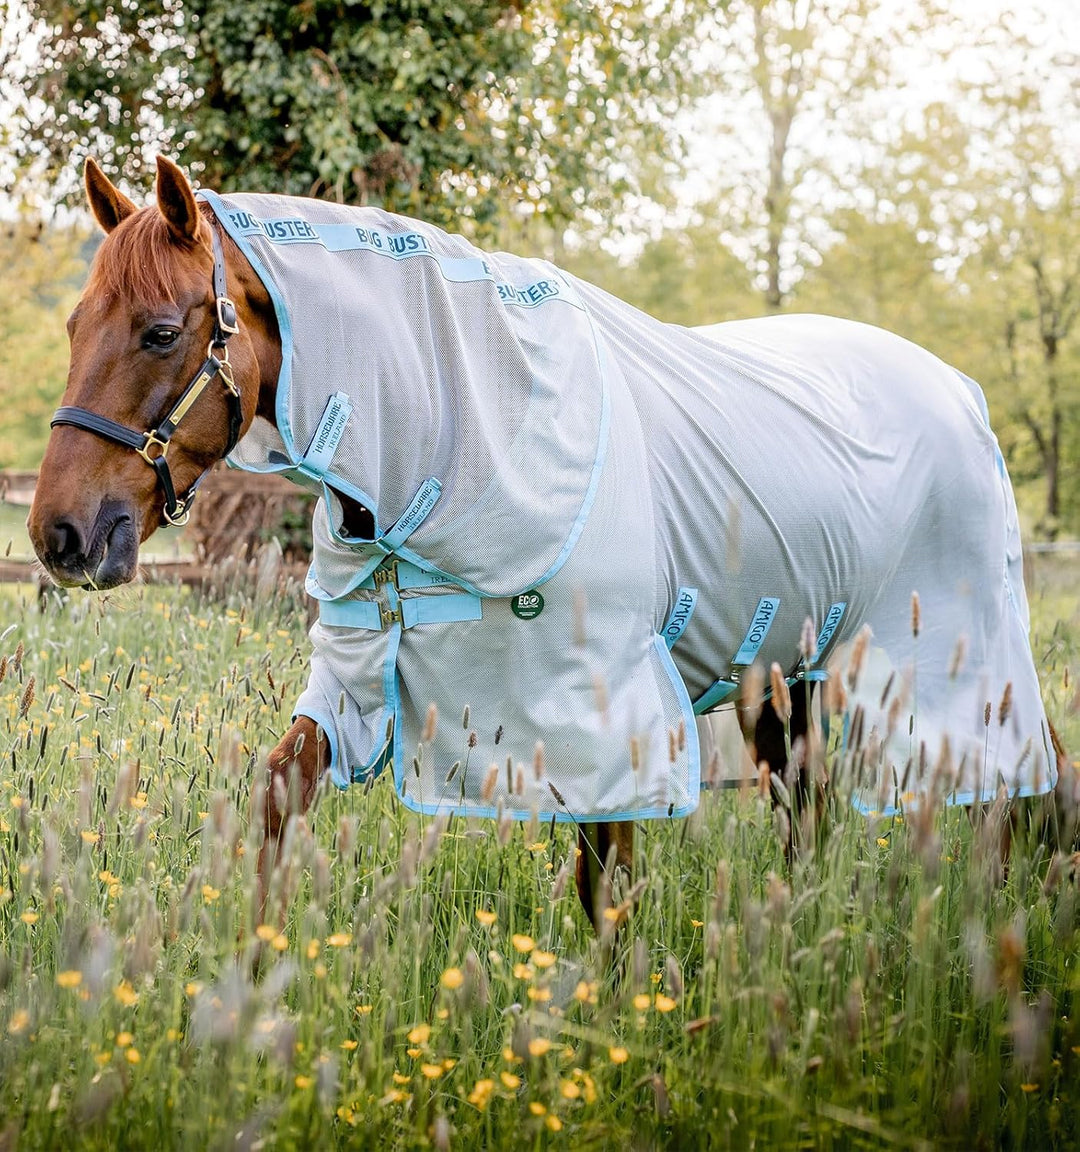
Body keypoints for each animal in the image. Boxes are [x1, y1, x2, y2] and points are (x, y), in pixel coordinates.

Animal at [29, 157, 1063, 928]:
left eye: (163, 332)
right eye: (75, 324)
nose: (62, 535)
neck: (469, 425)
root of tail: (960, 390)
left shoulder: (605, 715)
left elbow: (607, 886)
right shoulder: (359, 679)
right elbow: (283, 790)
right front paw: (255, 987)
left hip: (949, 657)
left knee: (1015, 781)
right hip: (789, 671)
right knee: (809, 812)